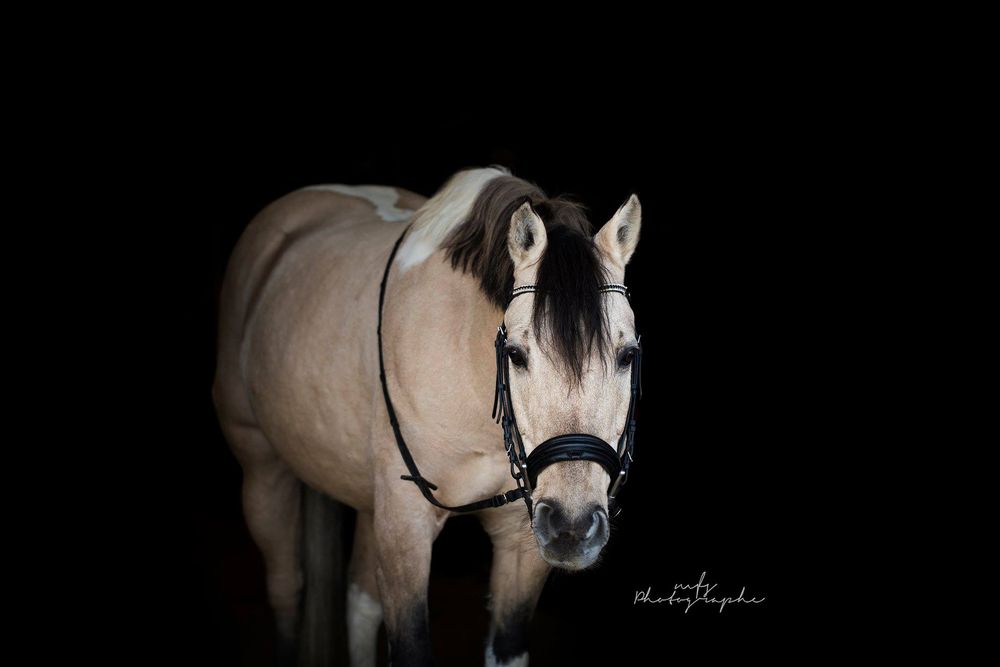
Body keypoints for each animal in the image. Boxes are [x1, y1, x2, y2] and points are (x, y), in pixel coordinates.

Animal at [213, 166, 643, 666]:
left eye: (627, 355)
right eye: (515, 354)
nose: (573, 528)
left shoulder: (522, 541)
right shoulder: (406, 523)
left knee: (359, 602)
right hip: (264, 472)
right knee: (286, 591)